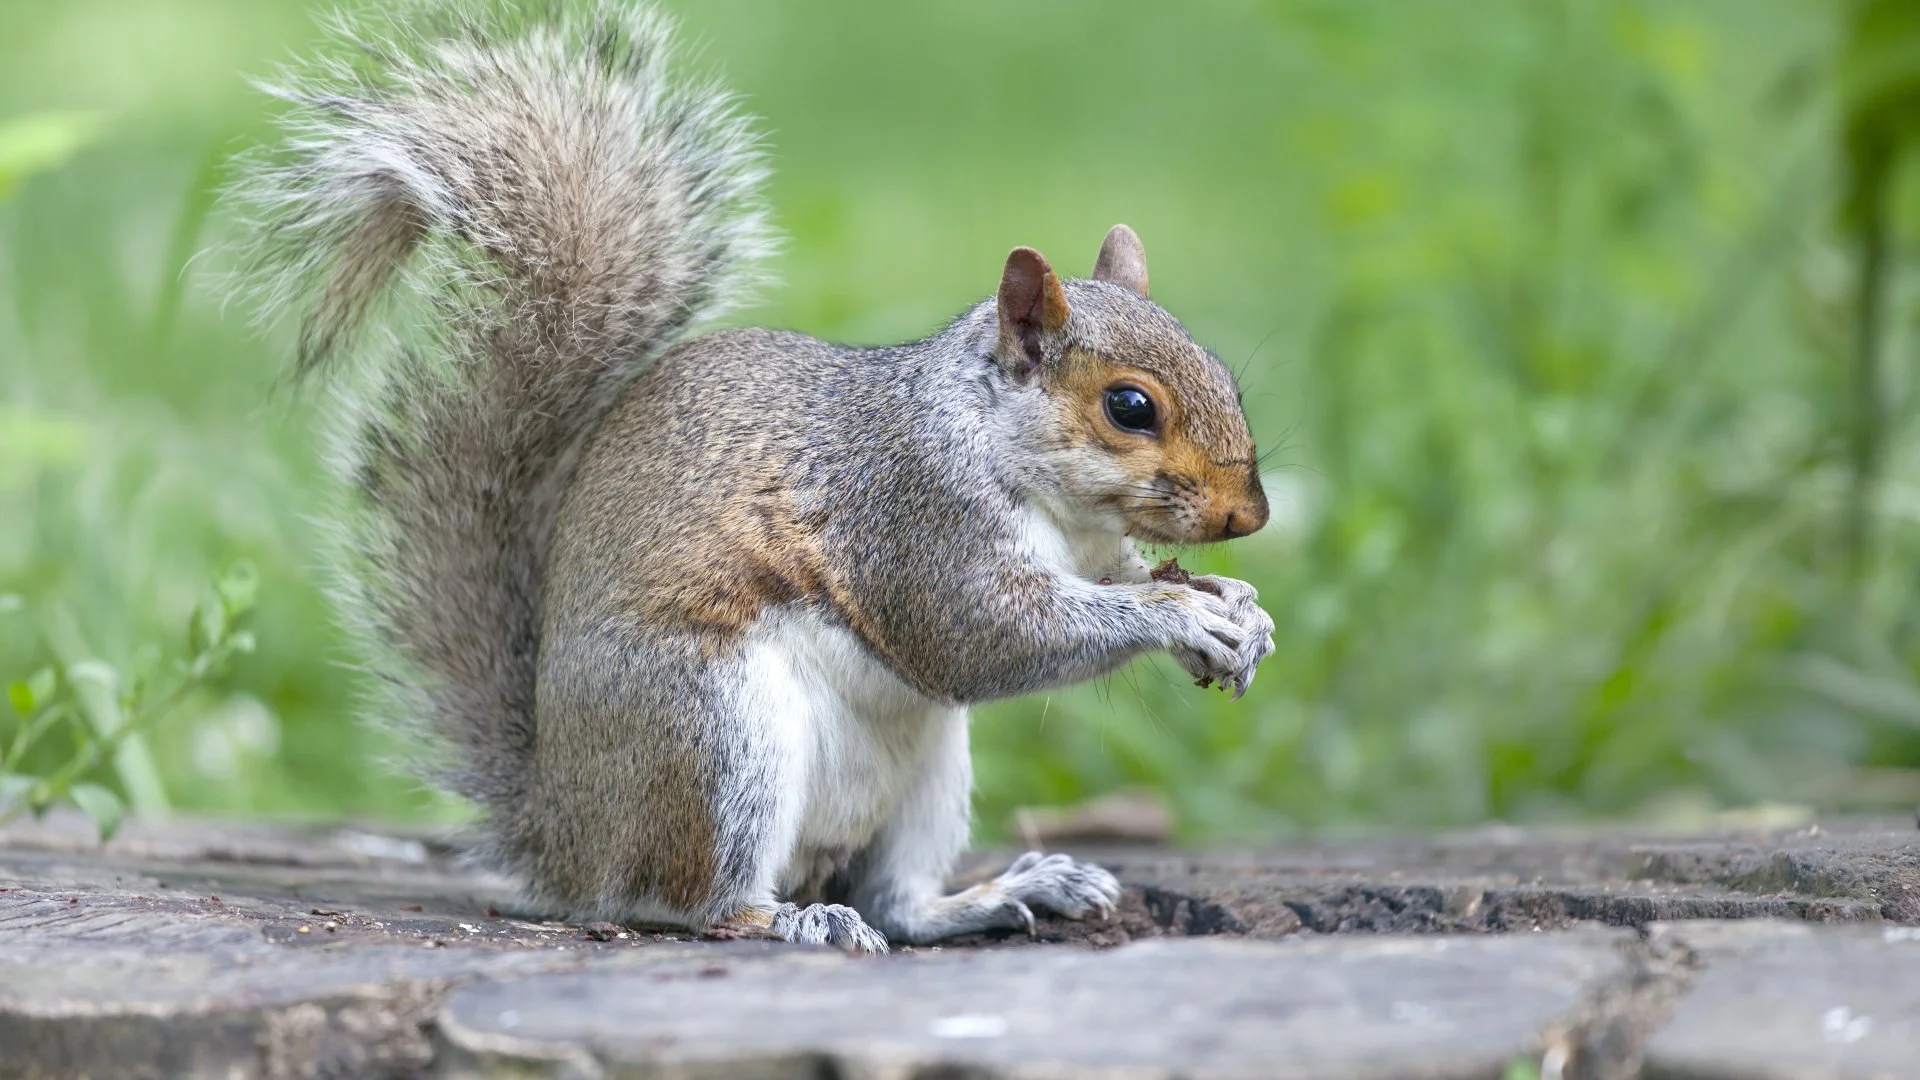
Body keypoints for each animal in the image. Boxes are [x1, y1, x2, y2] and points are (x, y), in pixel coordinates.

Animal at [232, 0, 1274, 949]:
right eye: (1129, 407)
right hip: (715, 735)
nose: (1249, 516)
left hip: (928, 767)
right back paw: (790, 918)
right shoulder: (914, 516)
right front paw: (1176, 613)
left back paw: (1002, 892)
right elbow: (982, 635)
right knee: (690, 902)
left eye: (1224, 373)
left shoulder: (1090, 550)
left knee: (897, 902)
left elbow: (1116, 582)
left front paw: (1238, 608)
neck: (1033, 477)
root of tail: (563, 837)